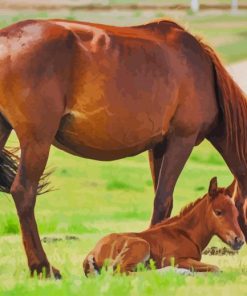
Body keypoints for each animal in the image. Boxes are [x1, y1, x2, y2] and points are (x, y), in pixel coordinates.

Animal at [83, 176, 245, 276]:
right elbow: (216, 269)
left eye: (236, 213)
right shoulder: (178, 259)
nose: (239, 240)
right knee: (122, 272)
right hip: (141, 246)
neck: (186, 234)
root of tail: (93, 251)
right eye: (218, 212)